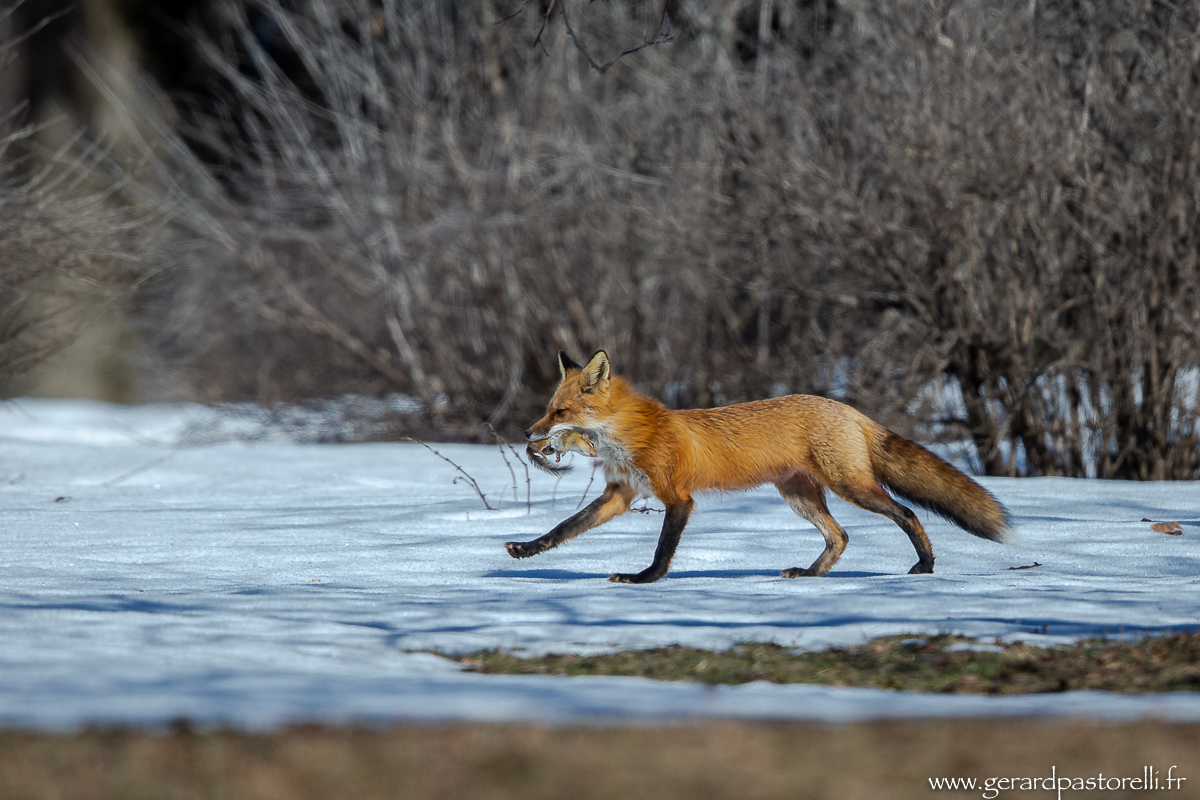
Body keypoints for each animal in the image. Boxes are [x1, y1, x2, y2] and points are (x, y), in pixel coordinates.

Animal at [505, 350, 1014, 584]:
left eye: (559, 412)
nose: (529, 434)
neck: (626, 436)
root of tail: (846, 407)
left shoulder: (678, 498)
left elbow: (663, 549)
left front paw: (645, 580)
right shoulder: (620, 496)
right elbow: (563, 528)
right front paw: (527, 550)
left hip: (850, 487)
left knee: (906, 514)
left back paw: (925, 565)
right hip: (799, 496)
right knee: (840, 536)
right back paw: (810, 575)